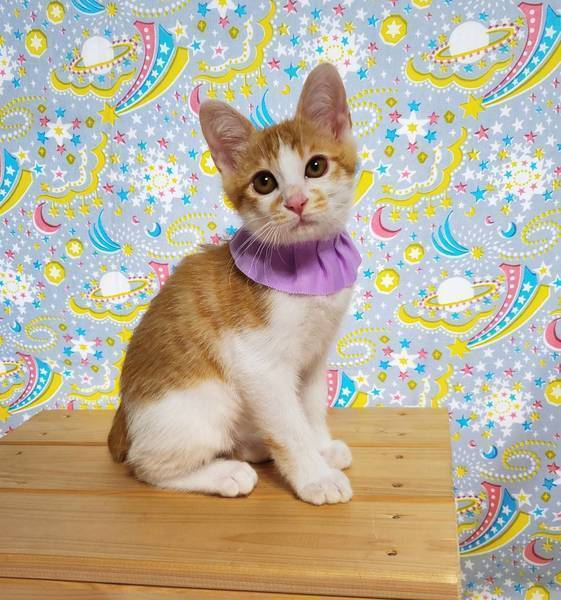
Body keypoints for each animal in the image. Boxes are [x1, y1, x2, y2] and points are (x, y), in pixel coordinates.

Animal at [108, 63, 360, 505]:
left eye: (315, 167)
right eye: (264, 182)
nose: (295, 202)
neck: (304, 260)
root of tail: (125, 421)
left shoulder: (315, 354)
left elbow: (310, 406)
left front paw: (321, 446)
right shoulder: (259, 364)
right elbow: (289, 426)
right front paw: (315, 476)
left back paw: (252, 446)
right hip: (201, 405)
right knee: (148, 466)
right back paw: (224, 473)